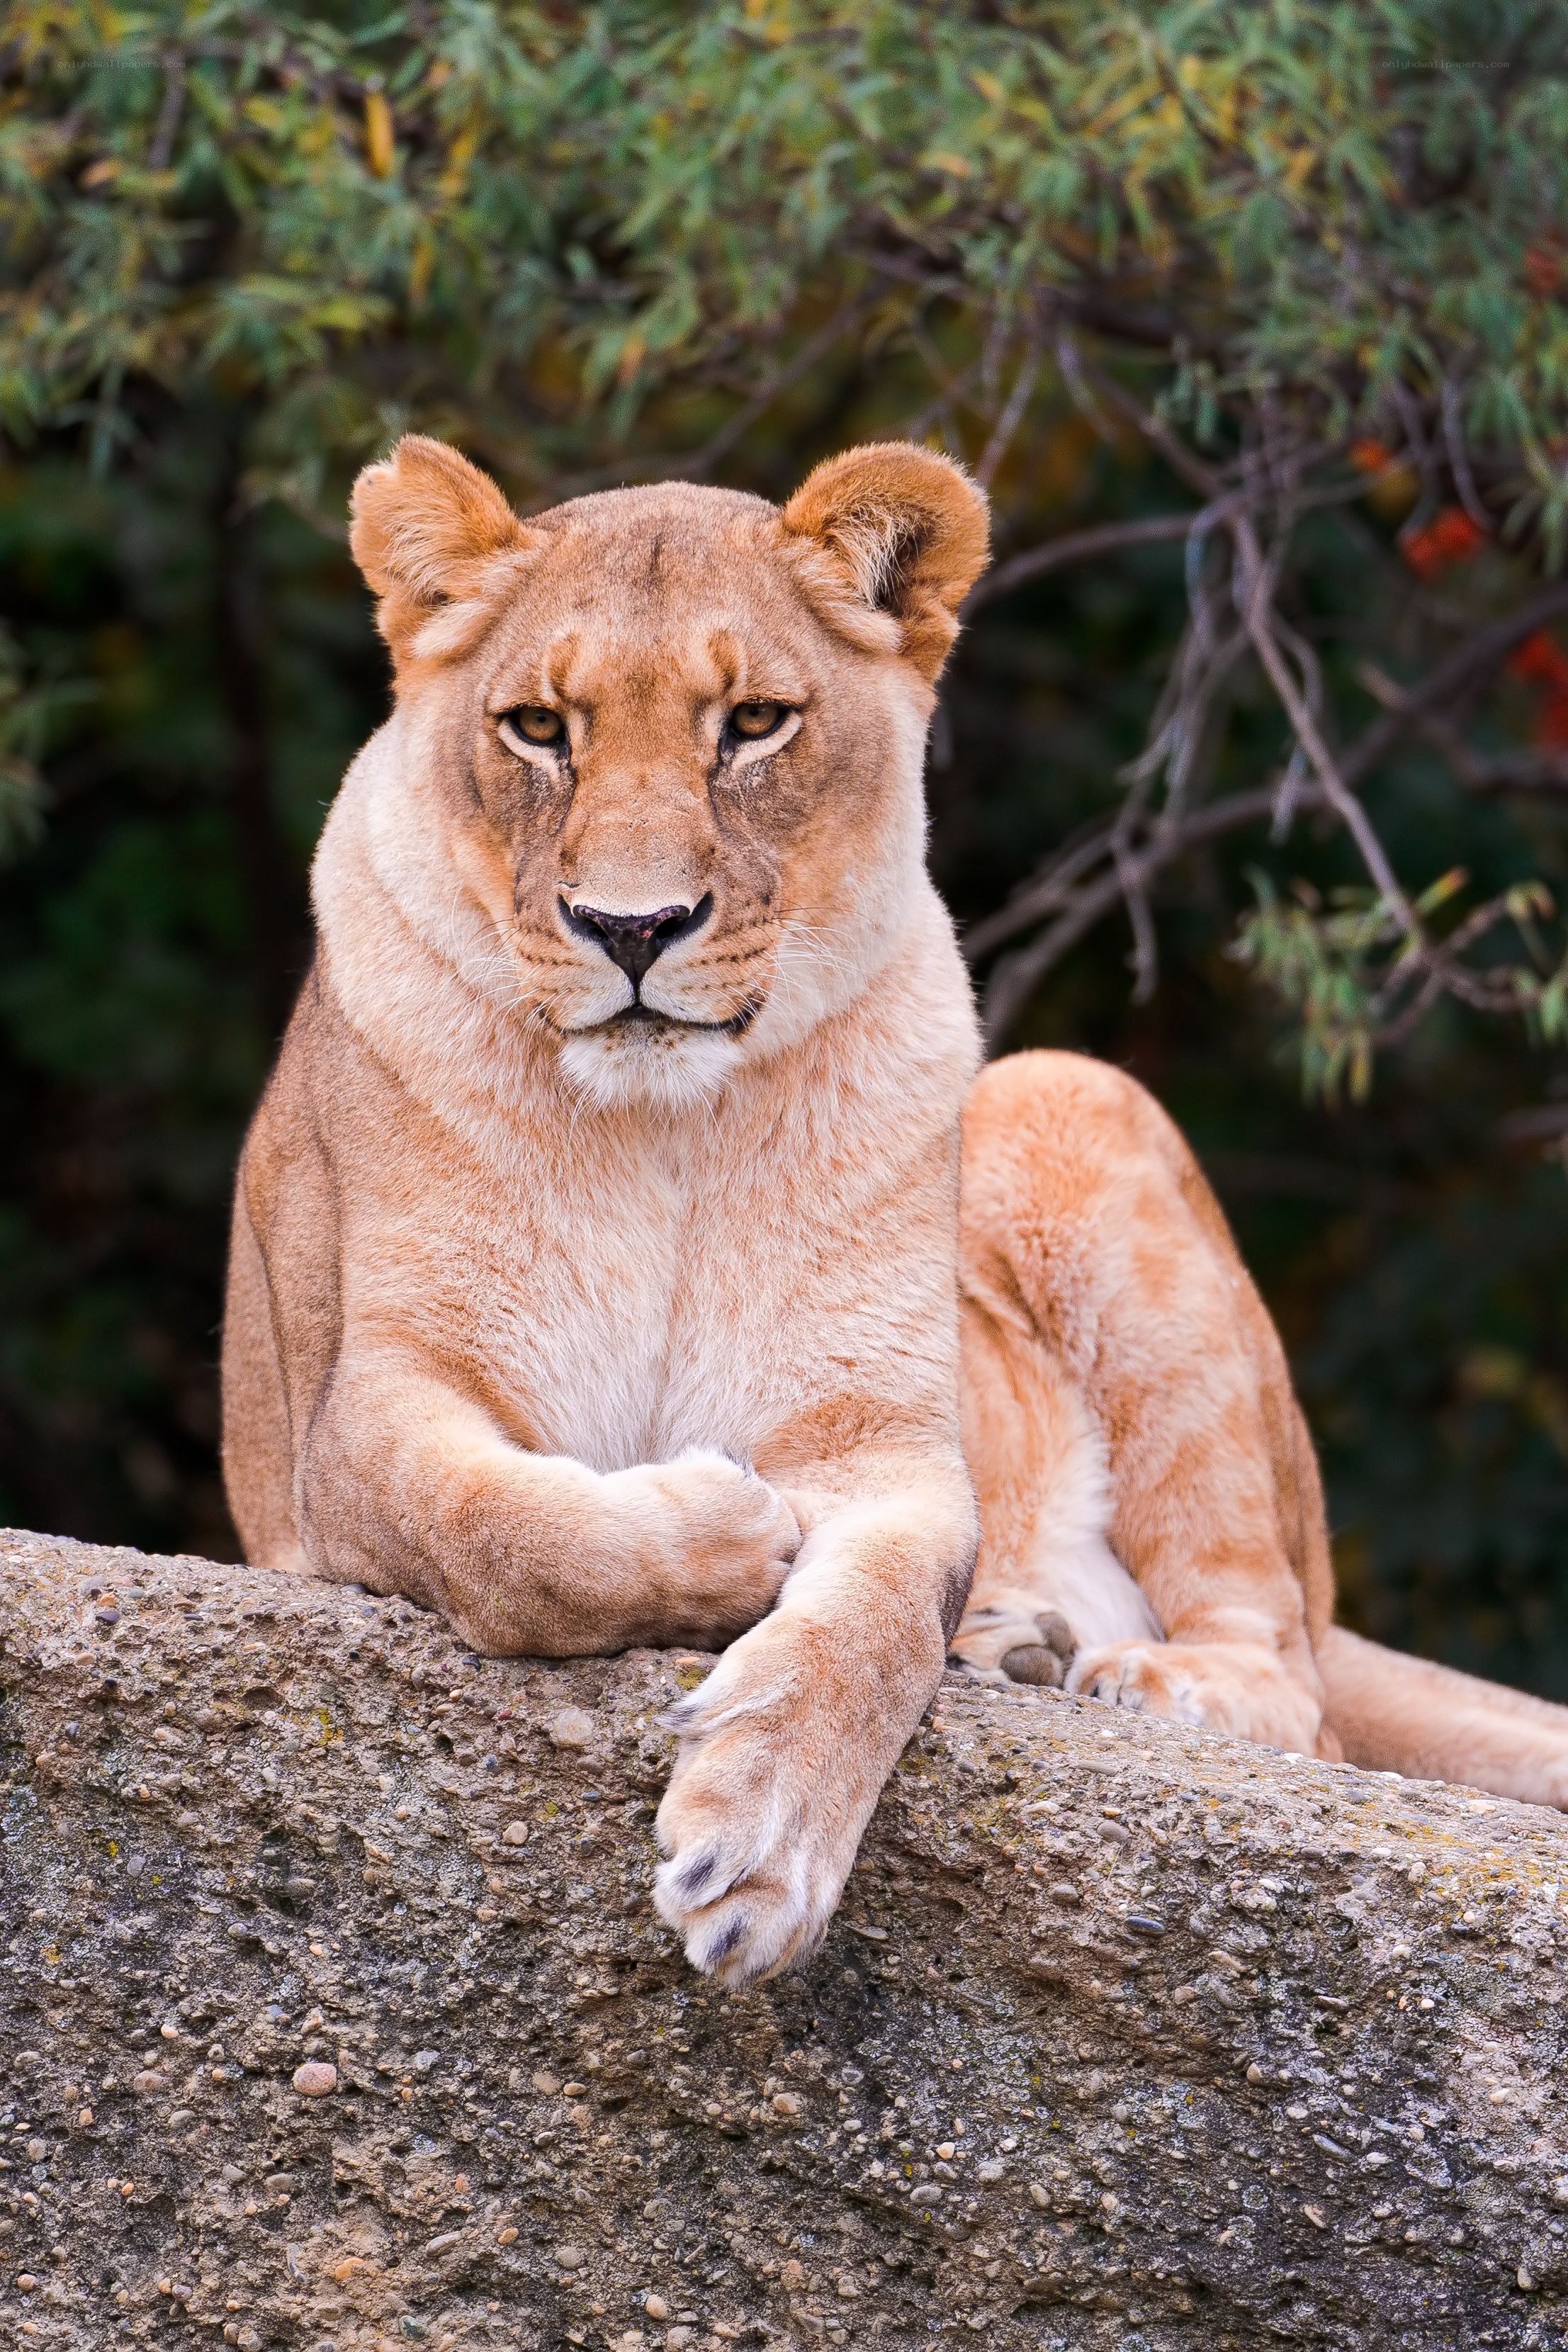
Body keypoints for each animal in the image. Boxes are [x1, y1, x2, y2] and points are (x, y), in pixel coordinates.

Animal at [222, 433, 1568, 1988]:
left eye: (752, 722)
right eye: (537, 728)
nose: (632, 929)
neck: (660, 1140)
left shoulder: (881, 1438)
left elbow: (864, 1626)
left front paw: (759, 1841)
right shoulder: (355, 1416)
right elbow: (501, 1529)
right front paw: (730, 1534)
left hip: (1071, 1099)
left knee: (1299, 1686)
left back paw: (1129, 1672)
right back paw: (1014, 1641)